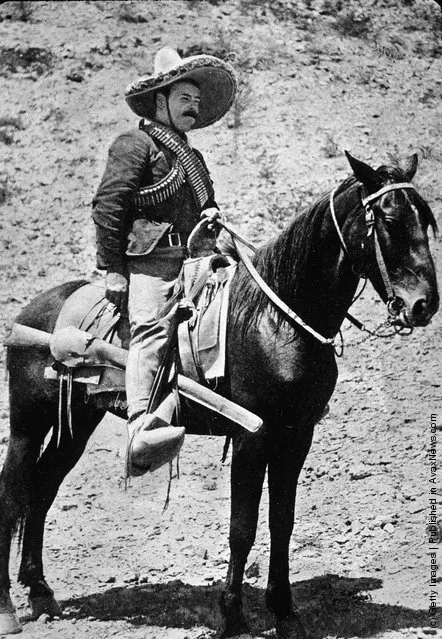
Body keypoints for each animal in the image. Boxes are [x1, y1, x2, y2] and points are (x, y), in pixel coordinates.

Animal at [0, 152, 438, 636]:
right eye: (389, 220)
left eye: (426, 220)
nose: (424, 305)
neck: (278, 319)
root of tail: (35, 308)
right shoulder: (252, 436)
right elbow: (242, 526)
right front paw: (232, 614)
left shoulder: (296, 436)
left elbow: (282, 521)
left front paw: (284, 610)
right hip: (27, 422)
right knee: (11, 494)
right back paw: (8, 608)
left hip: (75, 423)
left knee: (42, 488)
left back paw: (41, 592)